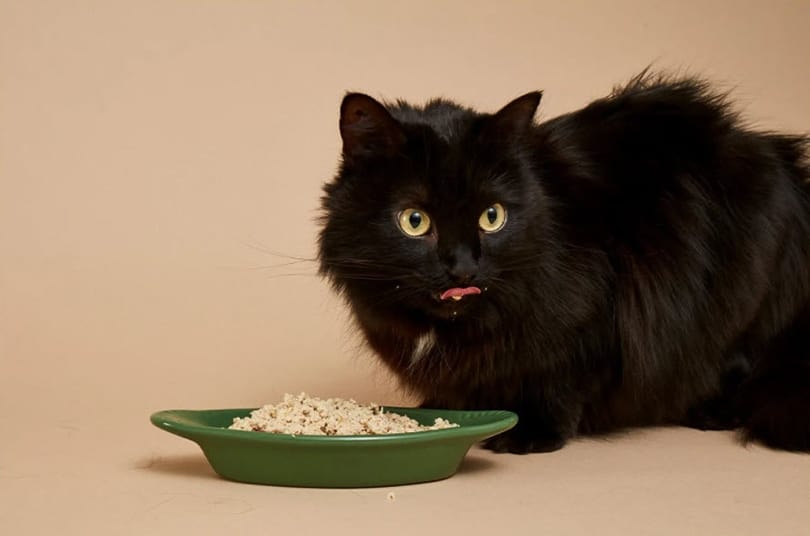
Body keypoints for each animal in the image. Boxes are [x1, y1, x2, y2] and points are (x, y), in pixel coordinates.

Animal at [316, 72, 808, 452]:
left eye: (492, 216)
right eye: (415, 221)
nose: (463, 268)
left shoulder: (593, 324)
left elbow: (558, 383)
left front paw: (529, 433)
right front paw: (442, 412)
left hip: (744, 291)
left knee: (739, 364)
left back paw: (708, 412)